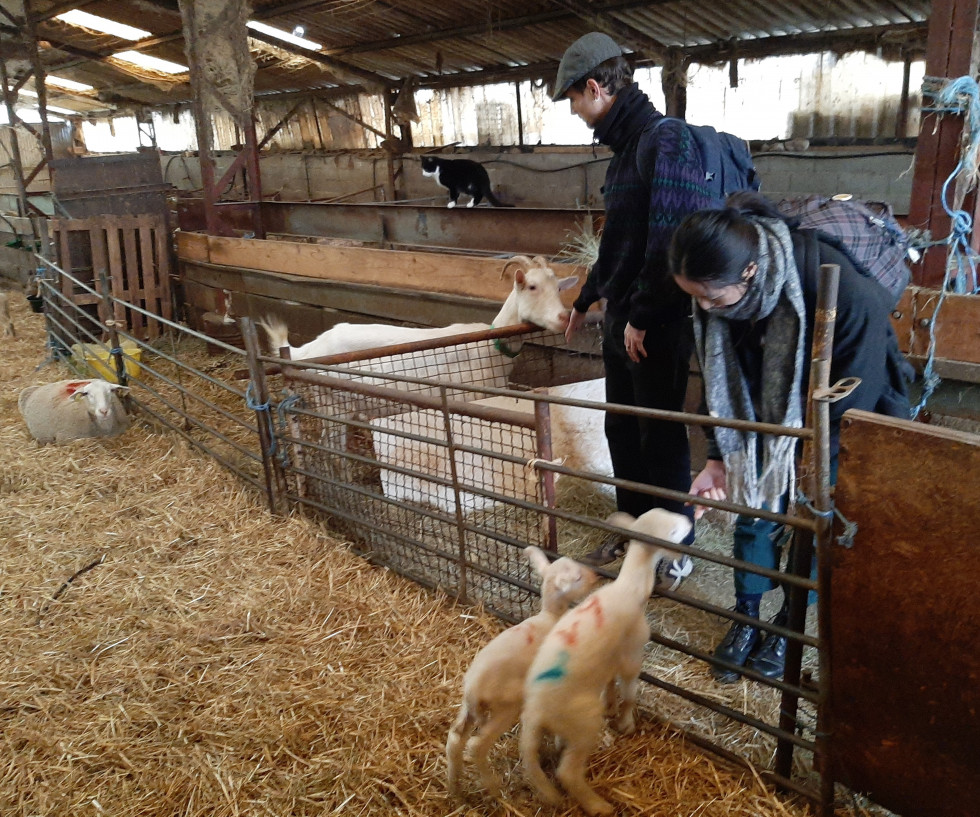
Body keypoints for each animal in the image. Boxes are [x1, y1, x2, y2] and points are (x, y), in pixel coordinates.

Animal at [520, 506, 696, 812]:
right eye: (673, 531)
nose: (689, 520)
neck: (630, 587)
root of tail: (536, 709)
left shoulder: (611, 658)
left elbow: (610, 683)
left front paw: (611, 704)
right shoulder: (632, 654)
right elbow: (630, 692)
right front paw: (626, 723)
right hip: (583, 723)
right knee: (568, 771)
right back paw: (597, 804)